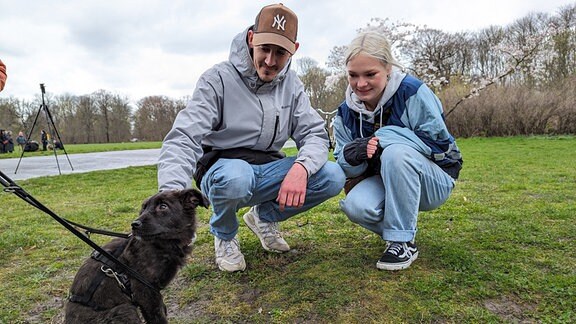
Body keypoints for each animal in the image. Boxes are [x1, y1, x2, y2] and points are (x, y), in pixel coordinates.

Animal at [65, 189, 209, 322]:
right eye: (143, 208)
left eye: (163, 206)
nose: (134, 224)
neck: (160, 245)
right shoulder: (146, 293)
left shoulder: (153, 293)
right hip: (125, 310)